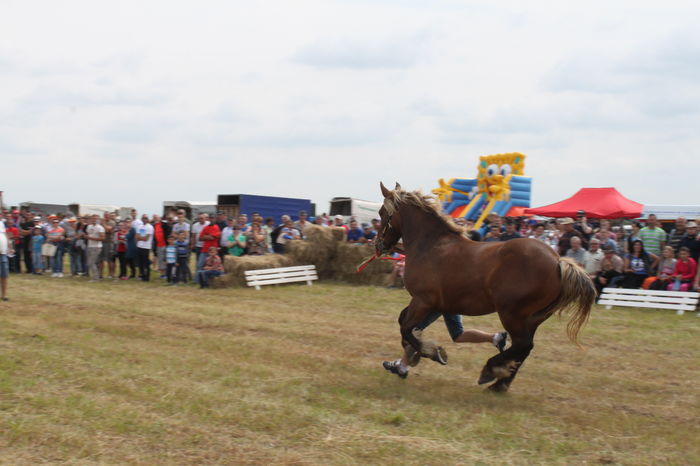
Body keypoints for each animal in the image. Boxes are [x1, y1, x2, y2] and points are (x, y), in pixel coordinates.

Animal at [375, 182, 596, 392]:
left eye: (381, 212)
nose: (378, 246)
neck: (429, 245)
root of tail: (558, 261)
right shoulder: (430, 304)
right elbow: (405, 325)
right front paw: (409, 359)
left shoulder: (423, 301)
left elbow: (406, 329)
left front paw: (432, 352)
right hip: (533, 318)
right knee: (523, 348)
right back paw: (500, 383)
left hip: (512, 314)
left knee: (523, 344)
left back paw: (490, 372)